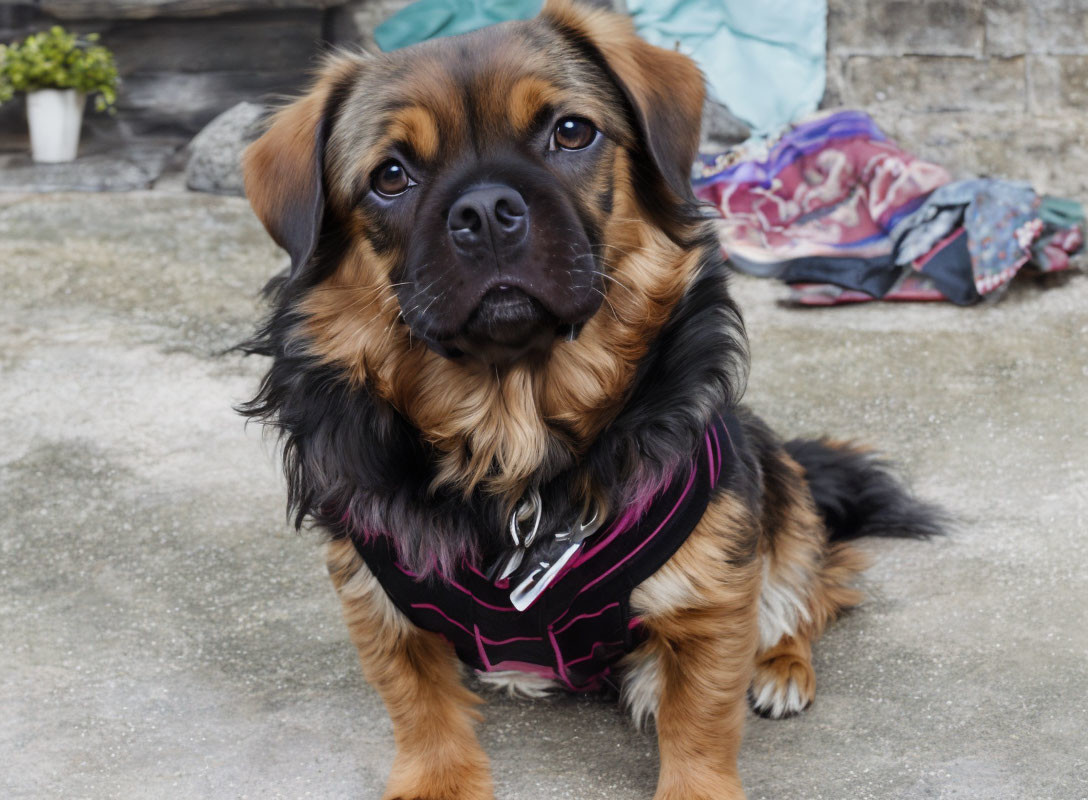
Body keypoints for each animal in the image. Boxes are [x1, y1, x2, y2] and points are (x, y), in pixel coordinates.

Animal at [240, 3, 944, 796]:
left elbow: (700, 718)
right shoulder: (379, 601)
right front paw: (435, 779)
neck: (513, 436)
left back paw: (781, 665)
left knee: (813, 590)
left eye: (571, 131)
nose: (486, 209)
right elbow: (420, 710)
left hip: (778, 501)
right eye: (391, 175)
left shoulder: (713, 595)